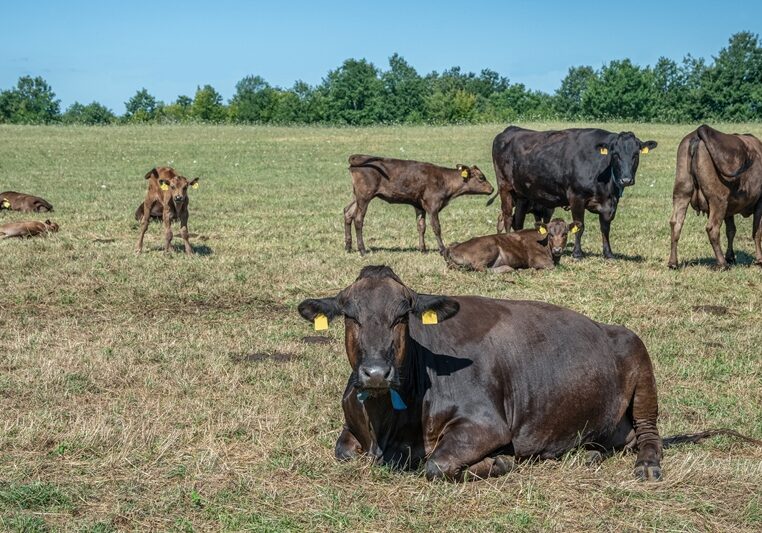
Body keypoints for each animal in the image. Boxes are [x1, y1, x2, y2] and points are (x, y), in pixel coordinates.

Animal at [297, 265, 761, 482]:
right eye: (350, 315)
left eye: (402, 314)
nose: (376, 373)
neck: (389, 424)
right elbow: (343, 451)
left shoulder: (485, 424)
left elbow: (436, 464)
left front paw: (500, 462)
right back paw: (588, 452)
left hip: (639, 360)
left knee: (649, 432)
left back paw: (646, 464)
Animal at [344, 155, 494, 256]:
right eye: (481, 177)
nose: (492, 189)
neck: (445, 180)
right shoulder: (433, 205)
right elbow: (436, 227)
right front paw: (442, 249)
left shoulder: (419, 206)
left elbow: (421, 227)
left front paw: (423, 249)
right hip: (365, 196)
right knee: (358, 219)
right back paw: (362, 250)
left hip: (357, 196)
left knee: (348, 212)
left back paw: (348, 247)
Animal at [444, 219, 582, 272]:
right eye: (550, 234)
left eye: (565, 234)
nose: (557, 249)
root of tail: (452, 247)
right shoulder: (538, 260)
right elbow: (550, 266)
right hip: (490, 247)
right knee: (480, 267)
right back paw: (509, 269)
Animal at [490, 127, 657, 259]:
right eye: (615, 154)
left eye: (636, 154)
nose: (626, 179)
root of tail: (509, 130)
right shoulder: (577, 197)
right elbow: (580, 227)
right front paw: (577, 253)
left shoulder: (609, 204)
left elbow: (605, 228)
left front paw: (608, 253)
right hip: (505, 188)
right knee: (507, 217)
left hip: (523, 195)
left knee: (518, 220)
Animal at [668, 125, 762, 269]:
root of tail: (700, 131)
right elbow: (757, 232)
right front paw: (759, 259)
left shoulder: (730, 207)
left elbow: (731, 231)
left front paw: (730, 256)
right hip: (718, 200)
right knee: (712, 228)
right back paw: (722, 263)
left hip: (681, 192)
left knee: (676, 223)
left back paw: (673, 262)